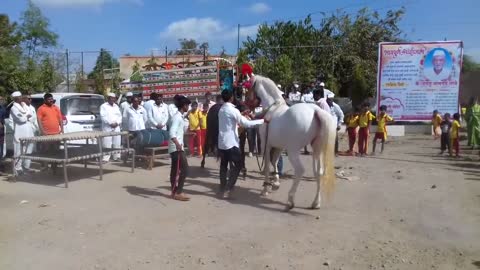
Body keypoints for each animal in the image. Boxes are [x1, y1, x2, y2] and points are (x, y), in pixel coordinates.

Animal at [248, 75, 338, 210]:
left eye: (247, 88)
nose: (246, 105)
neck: (273, 108)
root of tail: (316, 111)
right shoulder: (279, 146)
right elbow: (275, 161)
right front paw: (275, 183)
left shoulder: (266, 145)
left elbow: (268, 165)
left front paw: (265, 189)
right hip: (317, 150)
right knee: (319, 172)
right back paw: (316, 203)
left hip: (293, 151)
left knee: (300, 170)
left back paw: (290, 200)